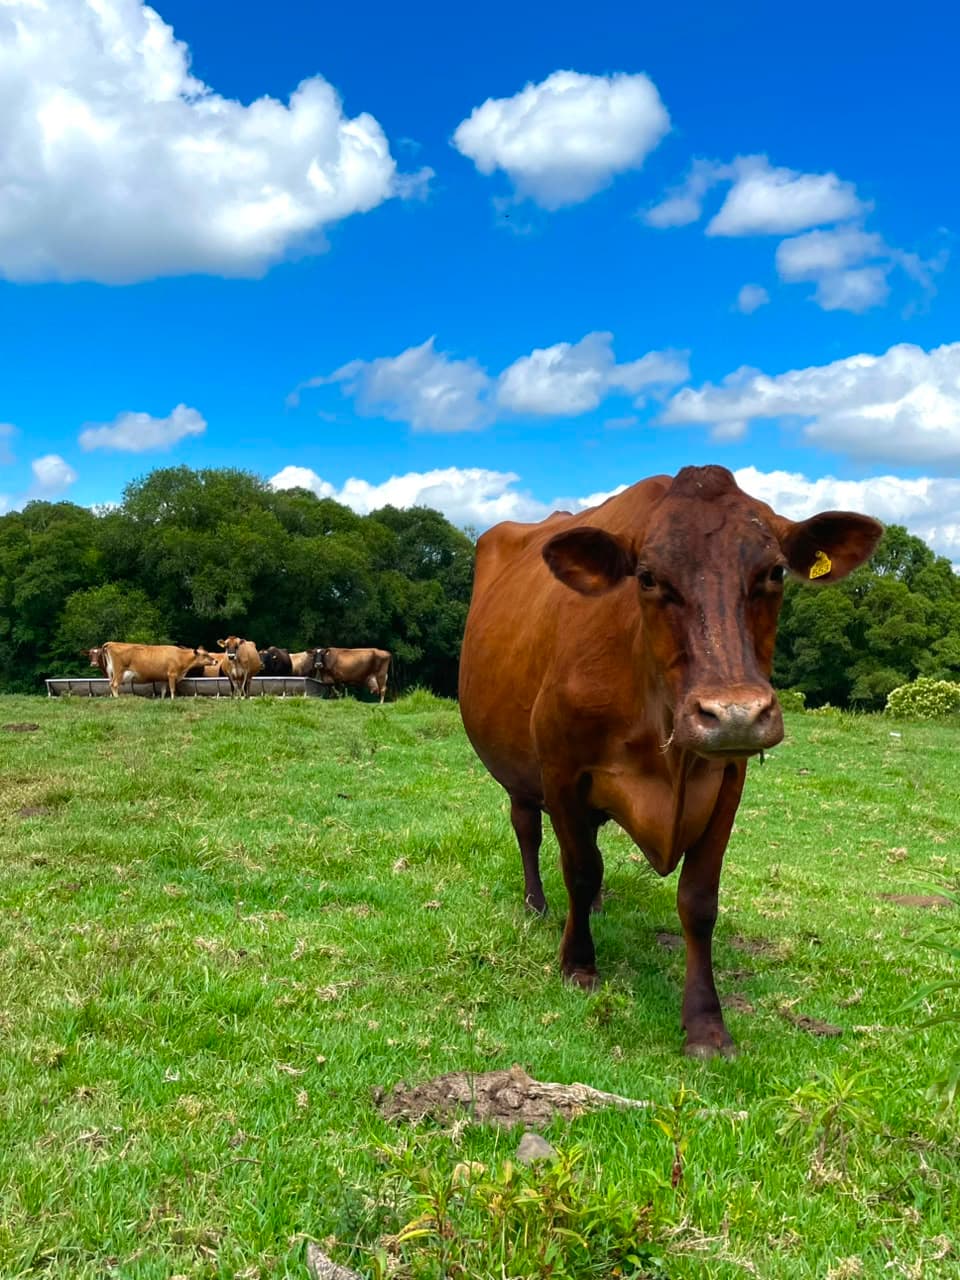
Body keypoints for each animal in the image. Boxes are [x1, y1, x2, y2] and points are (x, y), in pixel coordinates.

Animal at [458, 465, 882, 1058]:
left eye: (775, 571)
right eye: (647, 578)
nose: (734, 714)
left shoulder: (728, 778)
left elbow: (698, 901)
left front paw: (706, 1024)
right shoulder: (561, 771)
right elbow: (580, 868)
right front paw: (578, 965)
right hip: (517, 768)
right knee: (528, 829)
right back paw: (538, 905)